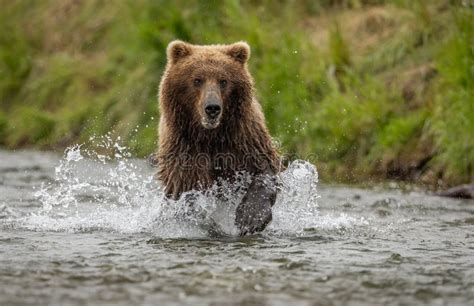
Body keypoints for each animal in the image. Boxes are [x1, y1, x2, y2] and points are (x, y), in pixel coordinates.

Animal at [155, 40, 282, 235]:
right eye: (197, 80)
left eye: (223, 81)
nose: (212, 108)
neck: (211, 136)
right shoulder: (184, 150)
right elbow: (189, 191)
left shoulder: (245, 138)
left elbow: (264, 170)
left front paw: (251, 218)